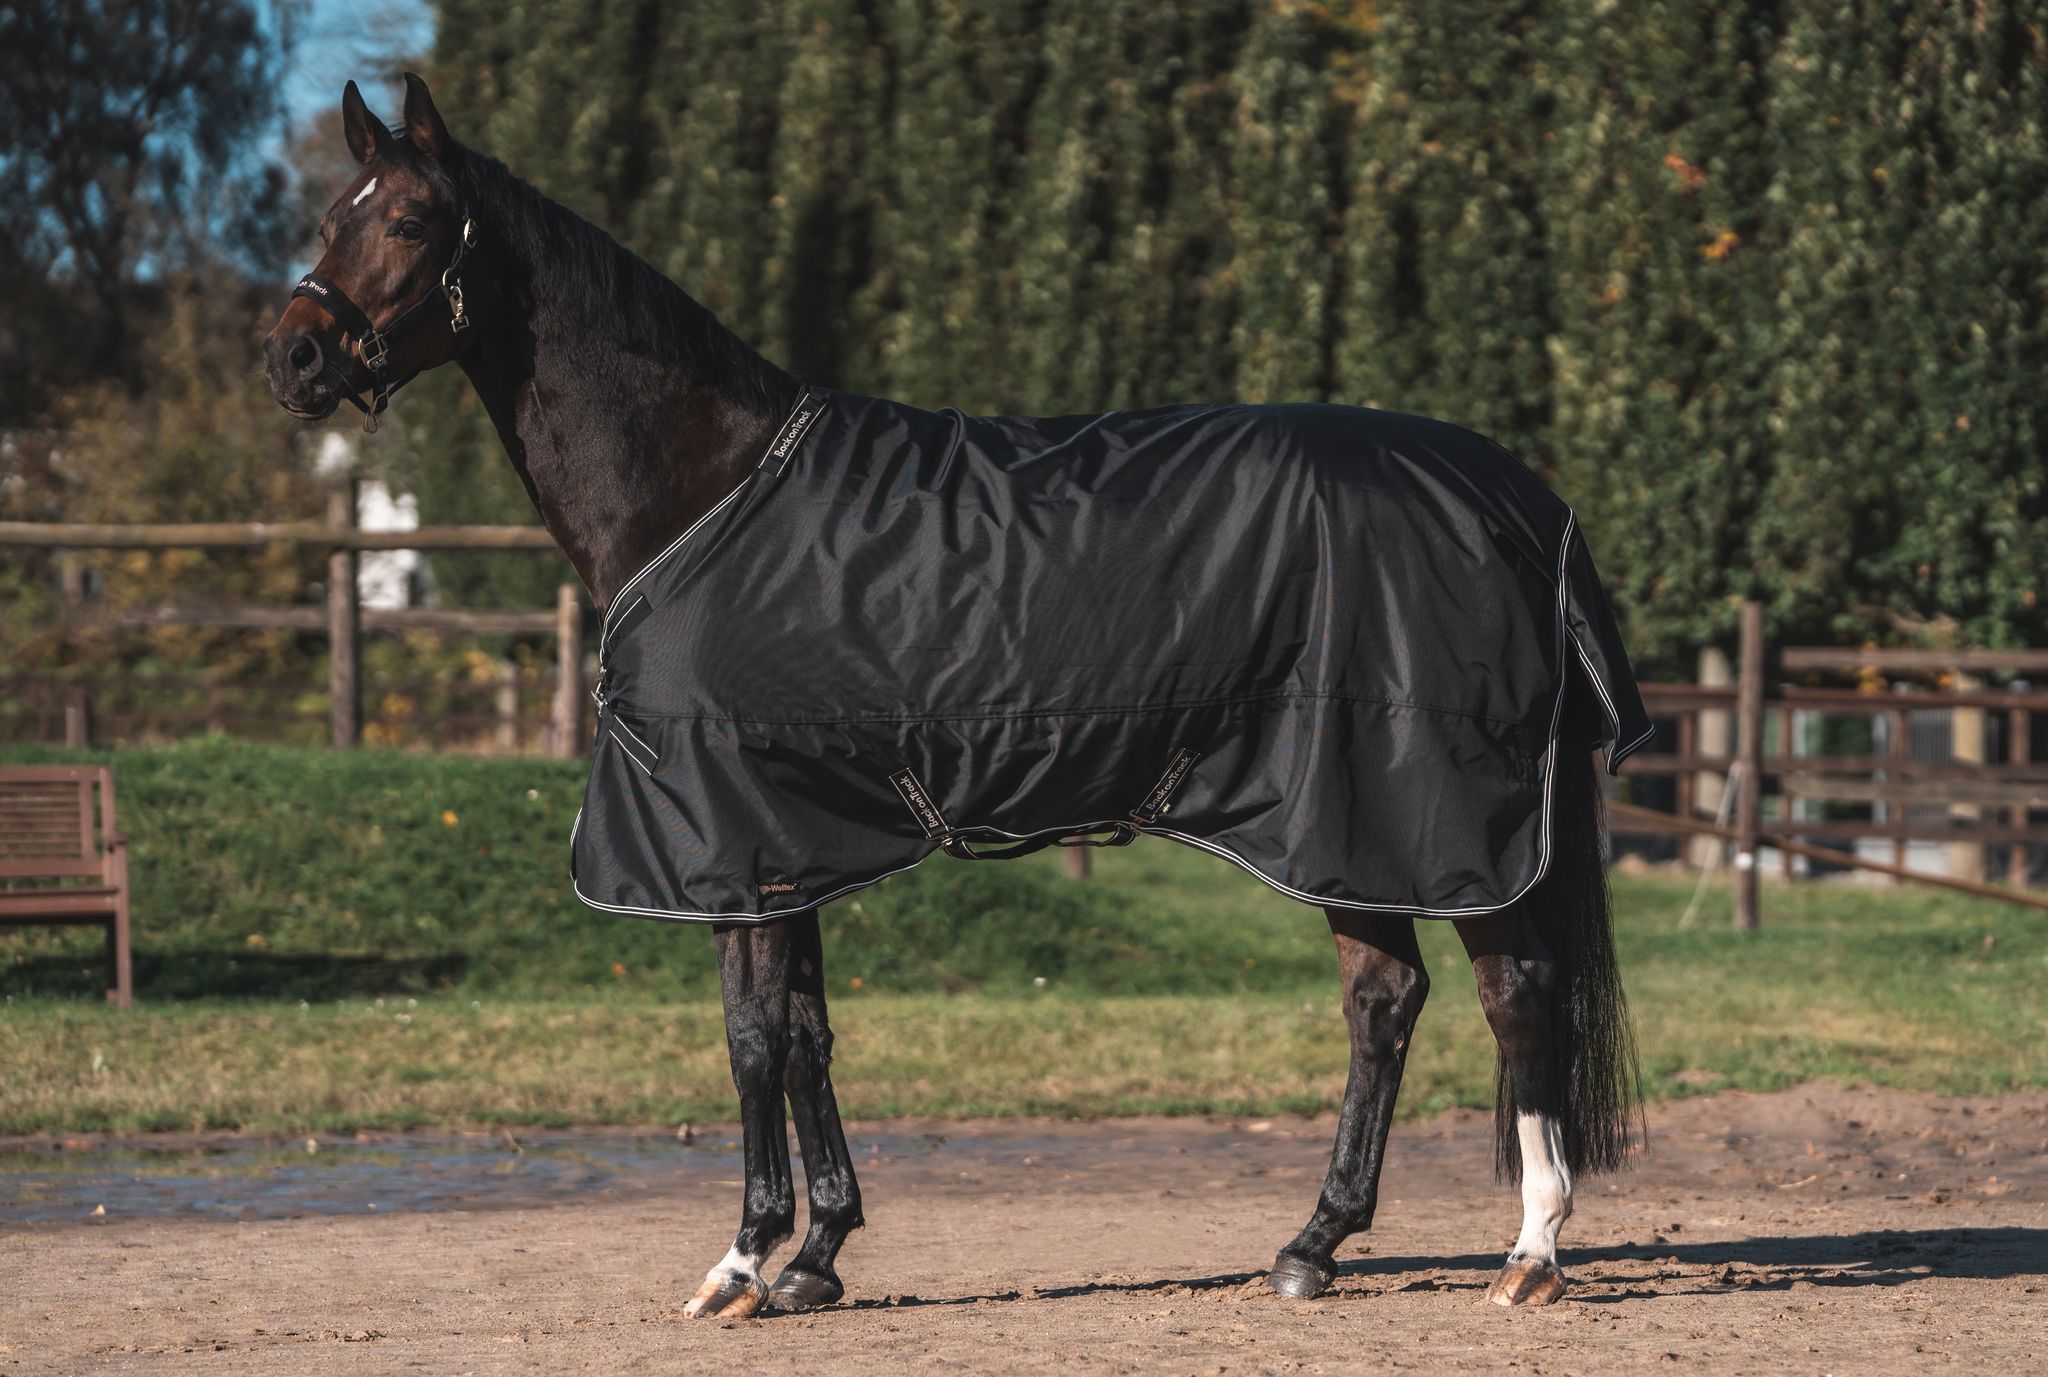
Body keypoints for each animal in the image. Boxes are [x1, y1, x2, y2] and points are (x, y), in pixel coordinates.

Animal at [265, 74, 1646, 1320]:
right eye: (333, 212)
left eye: (407, 221)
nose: (292, 357)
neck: (708, 491)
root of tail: (1516, 499)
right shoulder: (792, 841)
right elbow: (807, 1035)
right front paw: (819, 1255)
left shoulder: (732, 839)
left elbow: (750, 1039)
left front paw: (740, 1265)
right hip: (1336, 824)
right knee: (1383, 1002)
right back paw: (1311, 1246)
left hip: (1427, 819)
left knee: (1511, 996)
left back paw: (1530, 1253)